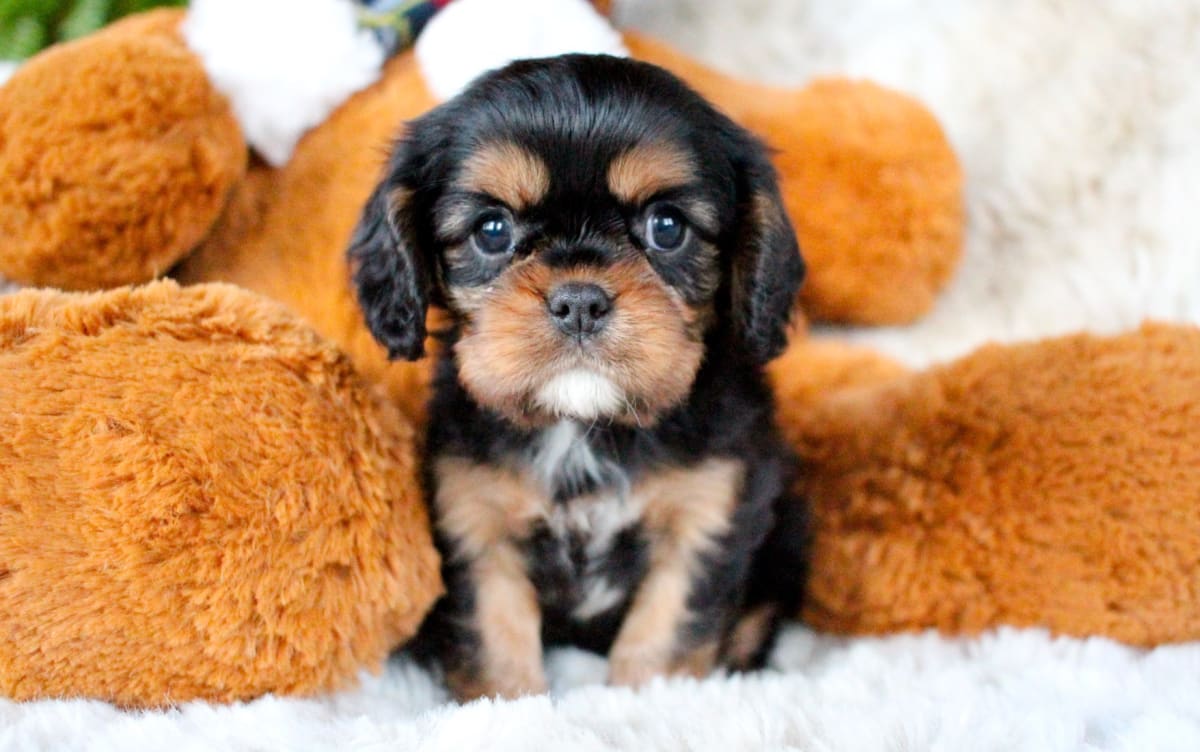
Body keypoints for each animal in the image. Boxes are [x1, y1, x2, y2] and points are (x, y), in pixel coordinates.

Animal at [350, 55, 811, 705]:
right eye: (492, 230)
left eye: (667, 226)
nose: (580, 302)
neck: (582, 427)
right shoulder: (476, 521)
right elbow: (495, 638)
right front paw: (511, 705)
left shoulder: (707, 516)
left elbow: (664, 634)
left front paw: (645, 701)